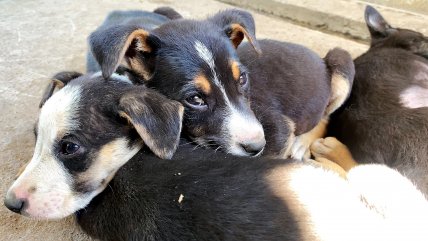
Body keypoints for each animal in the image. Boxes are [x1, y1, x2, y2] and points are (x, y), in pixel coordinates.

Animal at [4, 72, 428, 241]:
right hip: (383, 186)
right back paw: (328, 150)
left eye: (69, 147)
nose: (11, 203)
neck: (124, 166)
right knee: (360, 171)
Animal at [88, 9, 354, 159]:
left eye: (242, 78)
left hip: (341, 62)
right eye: (195, 99)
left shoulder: (279, 130)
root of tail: (320, 58)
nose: (256, 145)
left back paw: (302, 144)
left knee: (327, 115)